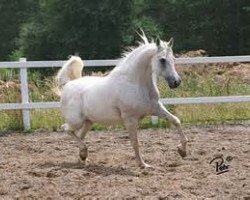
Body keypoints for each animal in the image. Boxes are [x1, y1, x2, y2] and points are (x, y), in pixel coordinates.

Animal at [55, 32, 188, 167]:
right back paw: (83, 153)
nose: (176, 82)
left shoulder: (156, 108)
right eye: (162, 60)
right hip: (77, 121)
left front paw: (182, 151)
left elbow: (176, 121)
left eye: (174, 59)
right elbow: (135, 142)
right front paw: (142, 164)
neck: (135, 83)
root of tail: (67, 85)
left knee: (79, 135)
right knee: (65, 129)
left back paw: (82, 158)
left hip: (88, 121)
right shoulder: (130, 119)